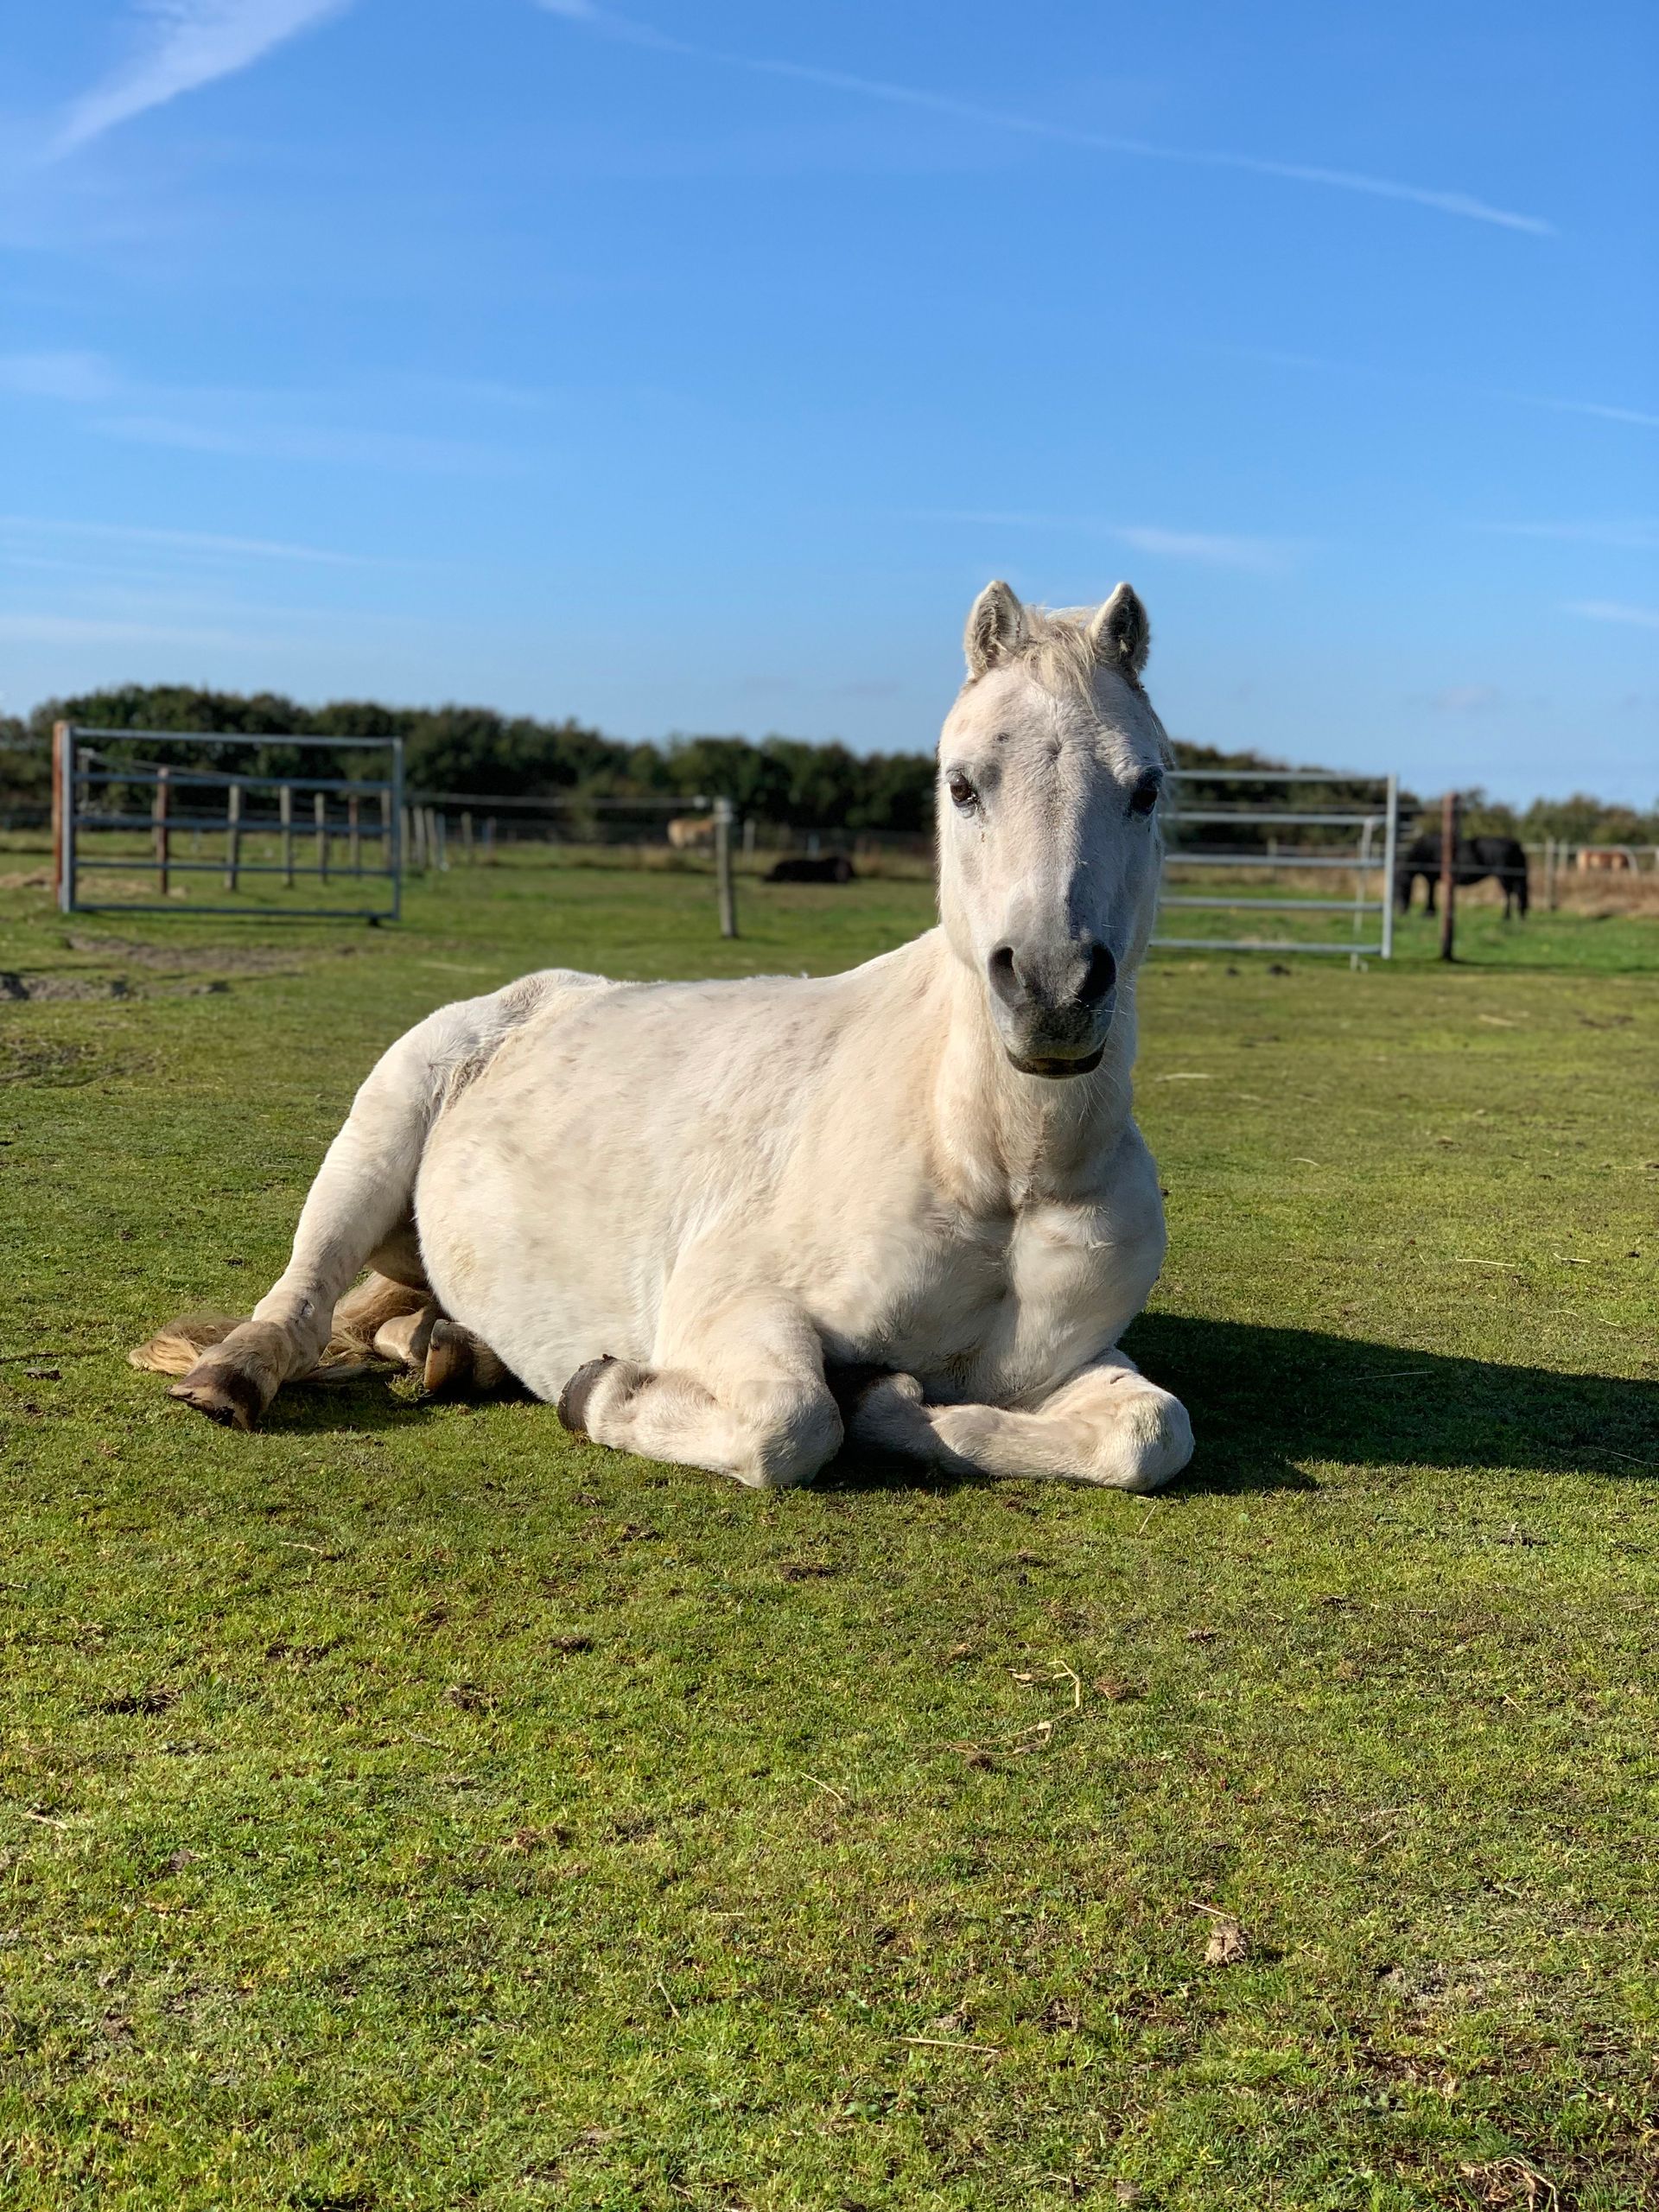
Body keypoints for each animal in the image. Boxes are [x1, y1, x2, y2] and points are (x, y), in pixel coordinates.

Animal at [134, 581, 1194, 1495]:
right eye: (964, 786)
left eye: (1146, 789)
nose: (1053, 990)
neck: (998, 1164)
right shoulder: (729, 1310)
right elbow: (793, 1422)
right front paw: (602, 1390)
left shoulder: (1065, 1364)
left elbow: (1151, 1432)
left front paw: (897, 1404)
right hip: (372, 1139)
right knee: (305, 1292)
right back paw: (236, 1375)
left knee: (391, 1319)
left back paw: (455, 1353)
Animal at [1396, 832, 1529, 919]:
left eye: (1402, 886)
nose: (1400, 911)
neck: (1428, 850)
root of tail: (1514, 844)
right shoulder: (1432, 878)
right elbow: (1431, 892)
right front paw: (1430, 912)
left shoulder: (1431, 878)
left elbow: (1430, 893)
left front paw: (1428, 913)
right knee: (1518, 893)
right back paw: (1519, 916)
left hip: (1504, 876)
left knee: (1509, 893)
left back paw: (1506, 917)